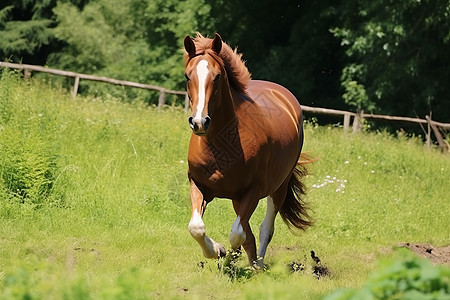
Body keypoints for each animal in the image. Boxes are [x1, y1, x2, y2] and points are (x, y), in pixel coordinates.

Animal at [181, 33, 312, 268]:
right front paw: (219, 250)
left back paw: (258, 264)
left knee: (264, 229)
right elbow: (197, 228)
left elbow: (238, 234)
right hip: (237, 198)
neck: (221, 144)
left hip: (278, 188)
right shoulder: (198, 185)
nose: (199, 122)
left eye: (217, 76)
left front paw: (227, 257)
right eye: (188, 76)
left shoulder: (253, 191)